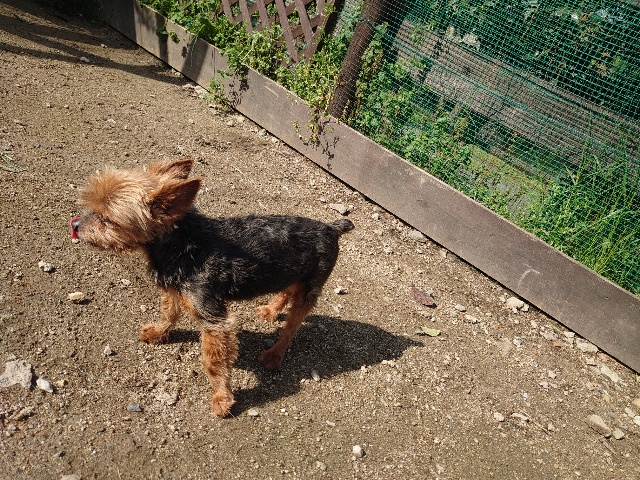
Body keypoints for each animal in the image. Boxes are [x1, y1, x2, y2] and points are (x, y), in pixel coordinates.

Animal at [70, 158, 354, 416]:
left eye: (106, 218)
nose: (75, 225)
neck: (183, 245)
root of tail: (331, 228)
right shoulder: (174, 290)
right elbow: (169, 312)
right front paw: (158, 332)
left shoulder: (214, 319)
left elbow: (214, 362)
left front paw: (221, 398)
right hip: (292, 274)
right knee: (286, 291)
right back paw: (271, 311)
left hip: (310, 287)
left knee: (292, 325)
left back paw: (274, 354)